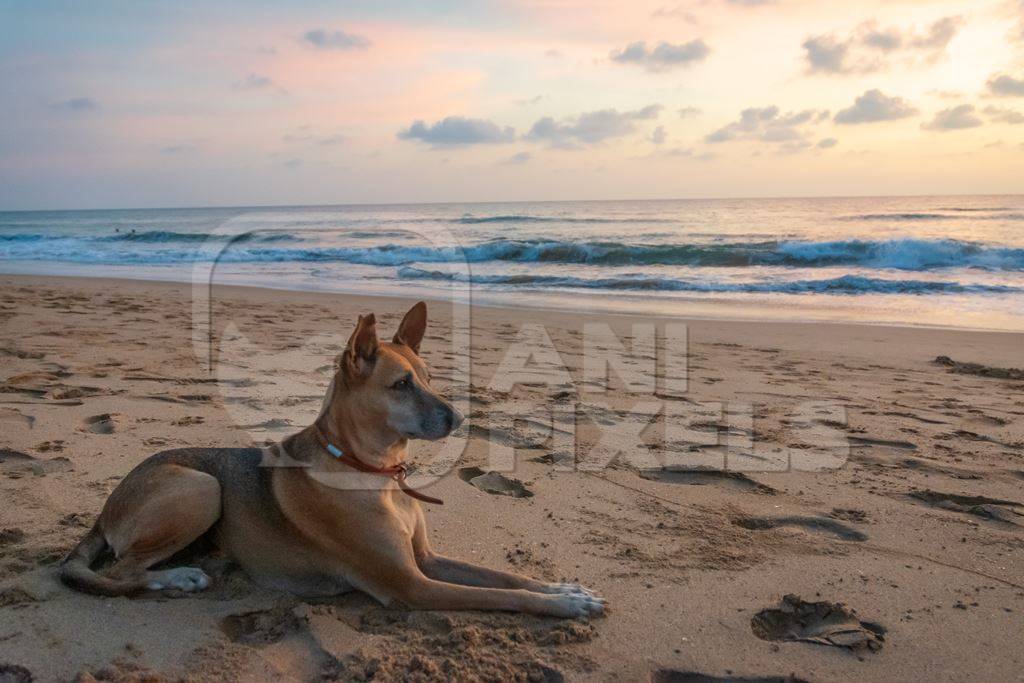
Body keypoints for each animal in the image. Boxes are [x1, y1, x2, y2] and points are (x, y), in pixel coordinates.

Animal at [59, 305, 602, 618]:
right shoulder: (412, 585)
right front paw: (563, 605)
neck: (373, 472)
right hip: (198, 488)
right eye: (401, 385)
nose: (459, 417)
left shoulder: (426, 560)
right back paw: (177, 578)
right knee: (119, 572)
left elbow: (507, 577)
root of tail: (106, 507)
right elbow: (503, 596)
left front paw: (566, 588)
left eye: (429, 377)